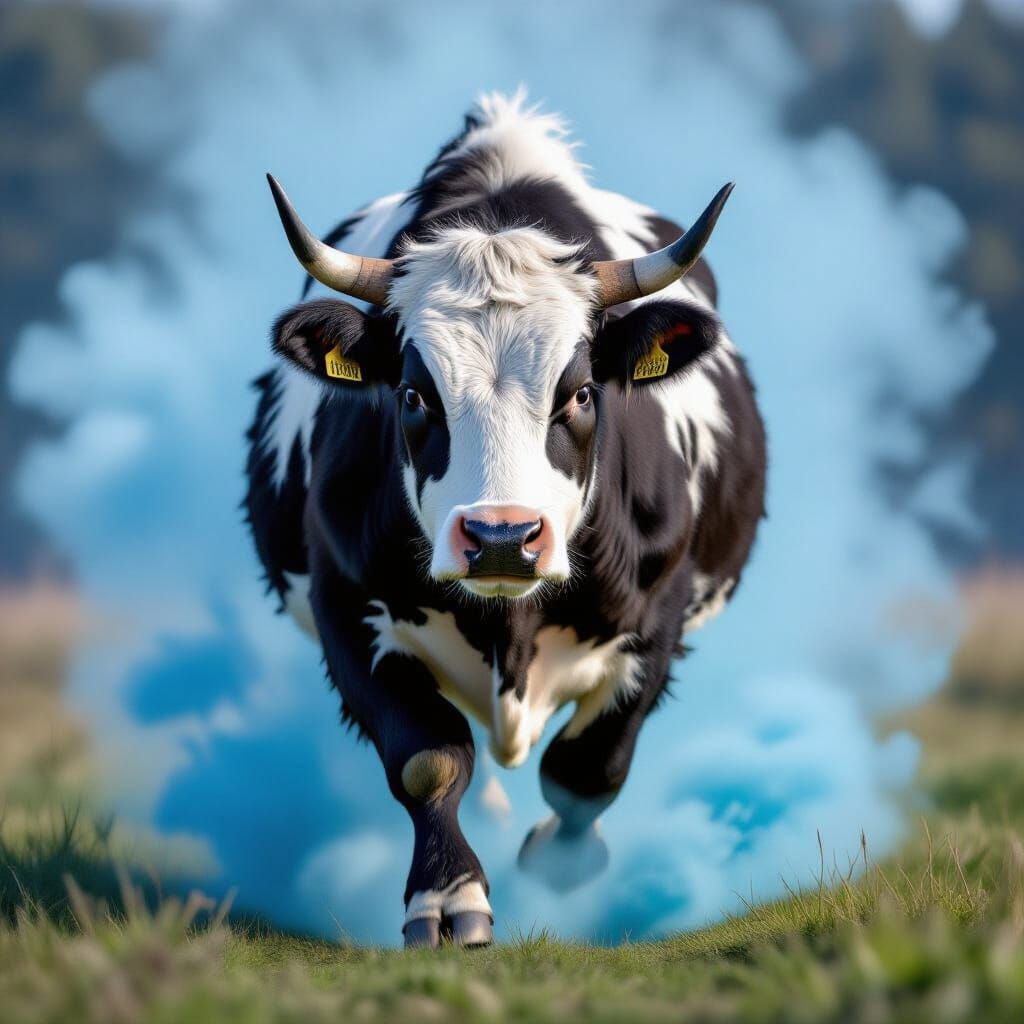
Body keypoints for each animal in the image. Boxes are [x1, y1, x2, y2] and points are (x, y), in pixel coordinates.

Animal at [245, 92, 766, 948]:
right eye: (413, 394)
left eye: (581, 392)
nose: (500, 538)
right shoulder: (344, 605)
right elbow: (428, 758)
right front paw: (447, 897)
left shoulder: (659, 611)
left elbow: (588, 770)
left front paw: (558, 864)